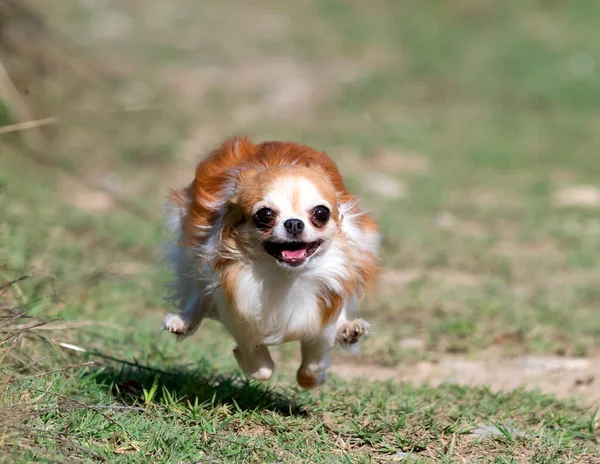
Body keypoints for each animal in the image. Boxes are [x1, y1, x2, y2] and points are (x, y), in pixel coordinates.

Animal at [161, 135, 380, 388]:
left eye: (321, 213)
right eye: (264, 215)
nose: (294, 223)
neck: (285, 276)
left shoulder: (324, 304)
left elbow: (312, 364)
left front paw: (315, 375)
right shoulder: (237, 305)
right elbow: (261, 365)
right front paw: (251, 363)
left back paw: (349, 329)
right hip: (192, 255)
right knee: (198, 292)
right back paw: (184, 320)